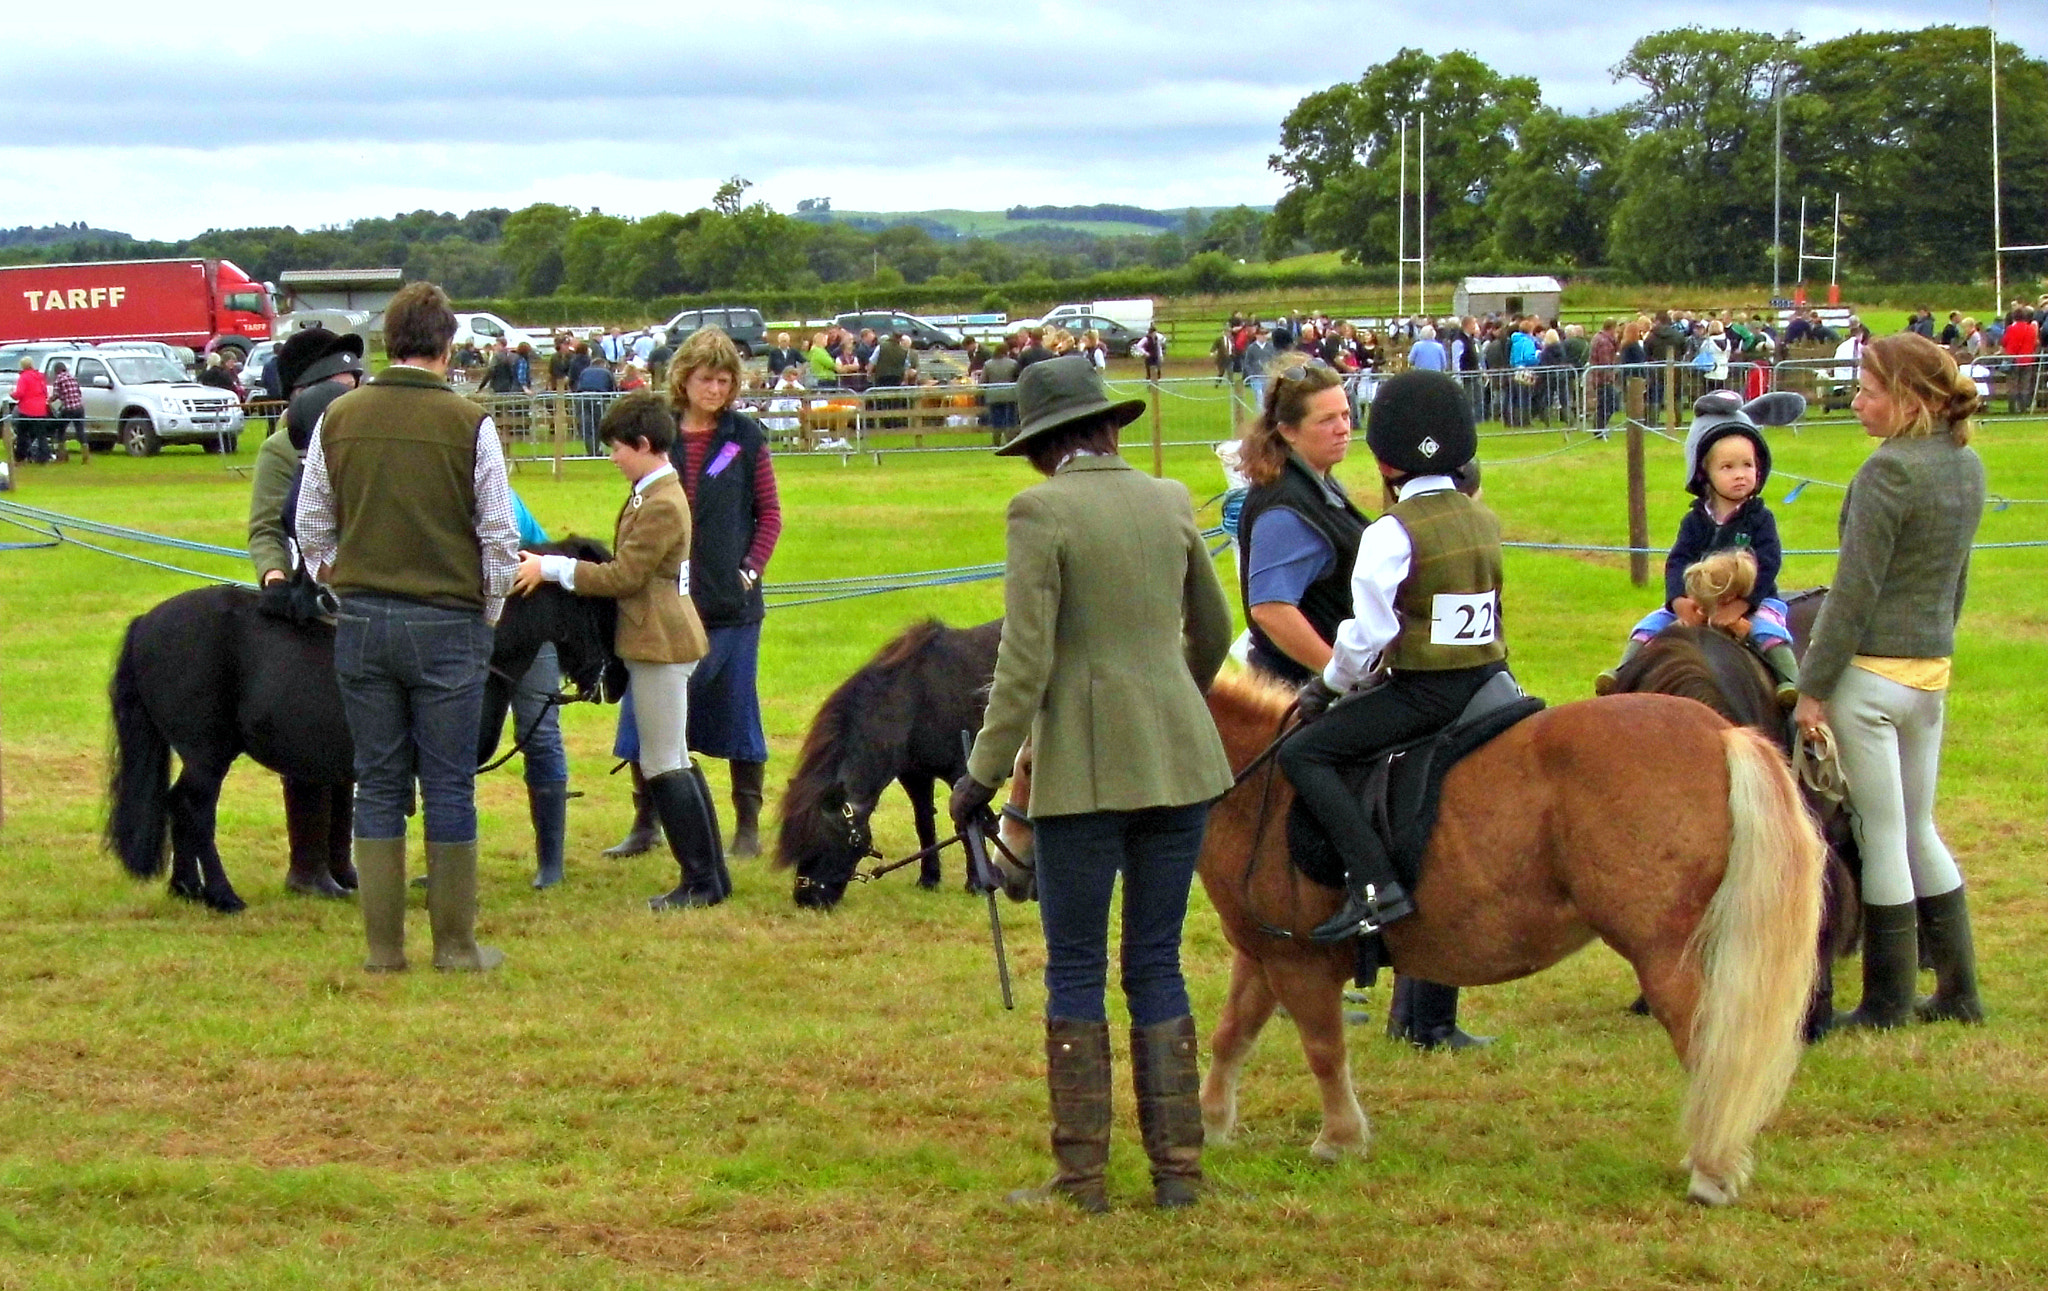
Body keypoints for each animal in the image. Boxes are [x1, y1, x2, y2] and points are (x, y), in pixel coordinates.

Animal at [108, 540, 618, 913]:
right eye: (589, 602)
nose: (606, 678)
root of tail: (148, 622)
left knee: (177, 806)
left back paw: (187, 889)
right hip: (207, 753)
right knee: (193, 809)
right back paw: (220, 895)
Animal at [774, 618, 999, 909]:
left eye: (822, 841)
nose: (807, 900)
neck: (917, 699)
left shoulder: (961, 773)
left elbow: (965, 827)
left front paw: (976, 884)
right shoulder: (914, 776)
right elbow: (924, 823)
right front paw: (928, 879)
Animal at [999, 672, 1818, 1213]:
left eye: (1035, 765)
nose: (1009, 867)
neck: (1256, 783)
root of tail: (1717, 731)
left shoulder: (1299, 963)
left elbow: (1323, 1049)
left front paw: (1339, 1138)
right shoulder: (1262, 955)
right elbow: (1231, 1035)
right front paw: (1210, 1123)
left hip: (1664, 956)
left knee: (1709, 1044)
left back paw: (1711, 1166)